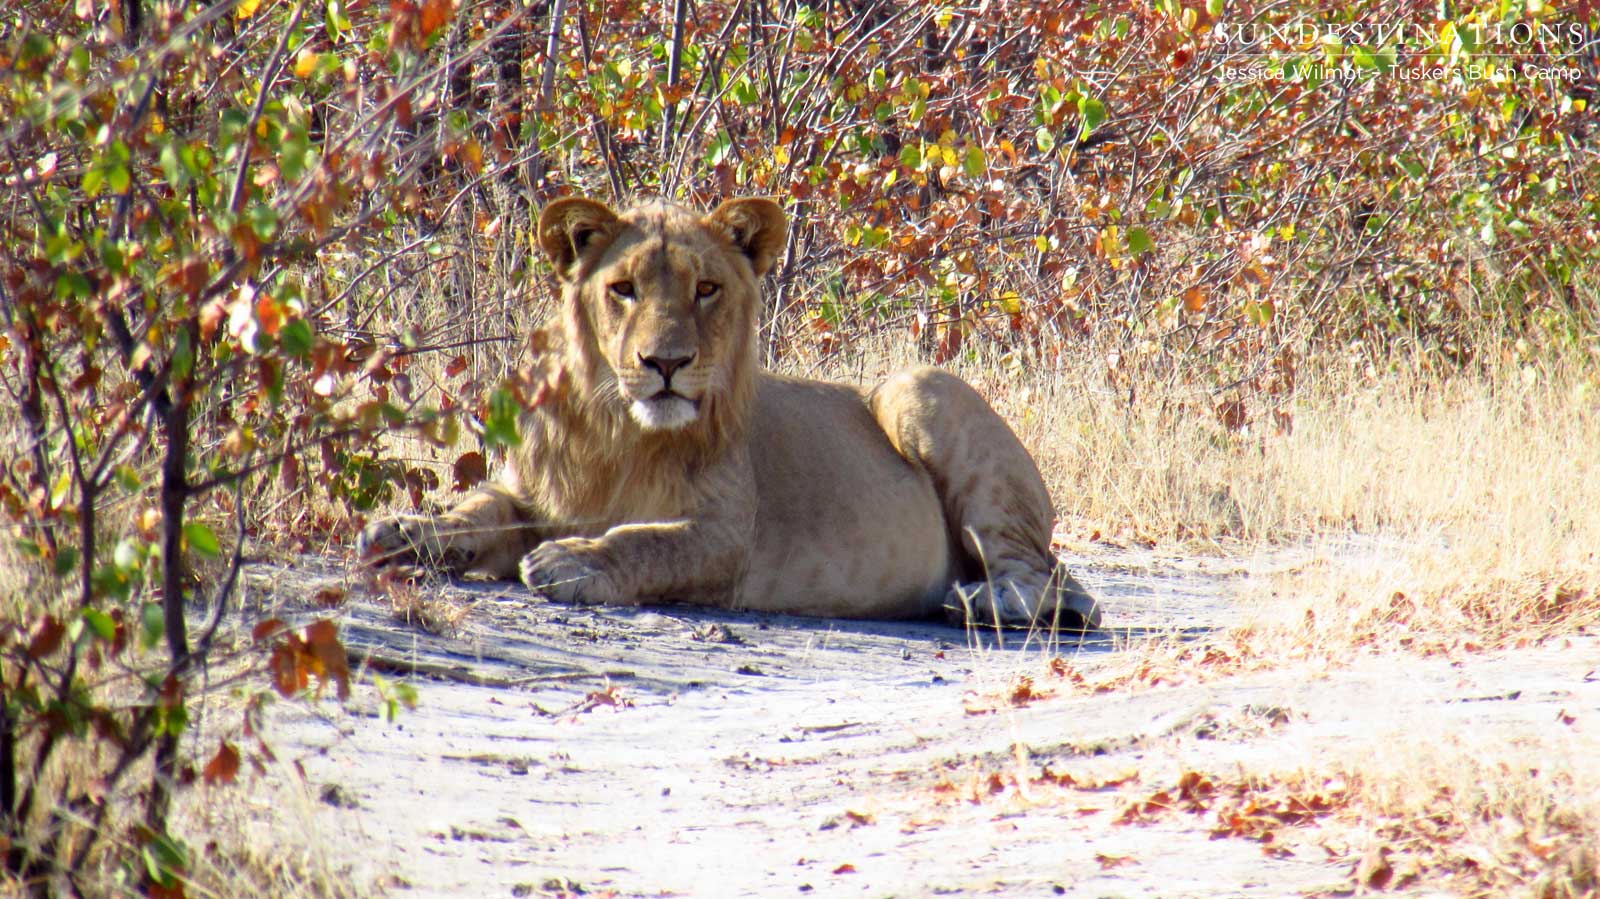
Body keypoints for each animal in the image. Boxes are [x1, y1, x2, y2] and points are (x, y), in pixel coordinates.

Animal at [359, 196, 1100, 630]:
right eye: (623, 289)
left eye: (706, 289)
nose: (665, 362)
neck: (618, 434)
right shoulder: (529, 491)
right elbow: (476, 509)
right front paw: (405, 529)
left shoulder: (727, 538)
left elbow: (647, 539)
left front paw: (573, 562)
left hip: (914, 384)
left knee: (1054, 580)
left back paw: (985, 601)